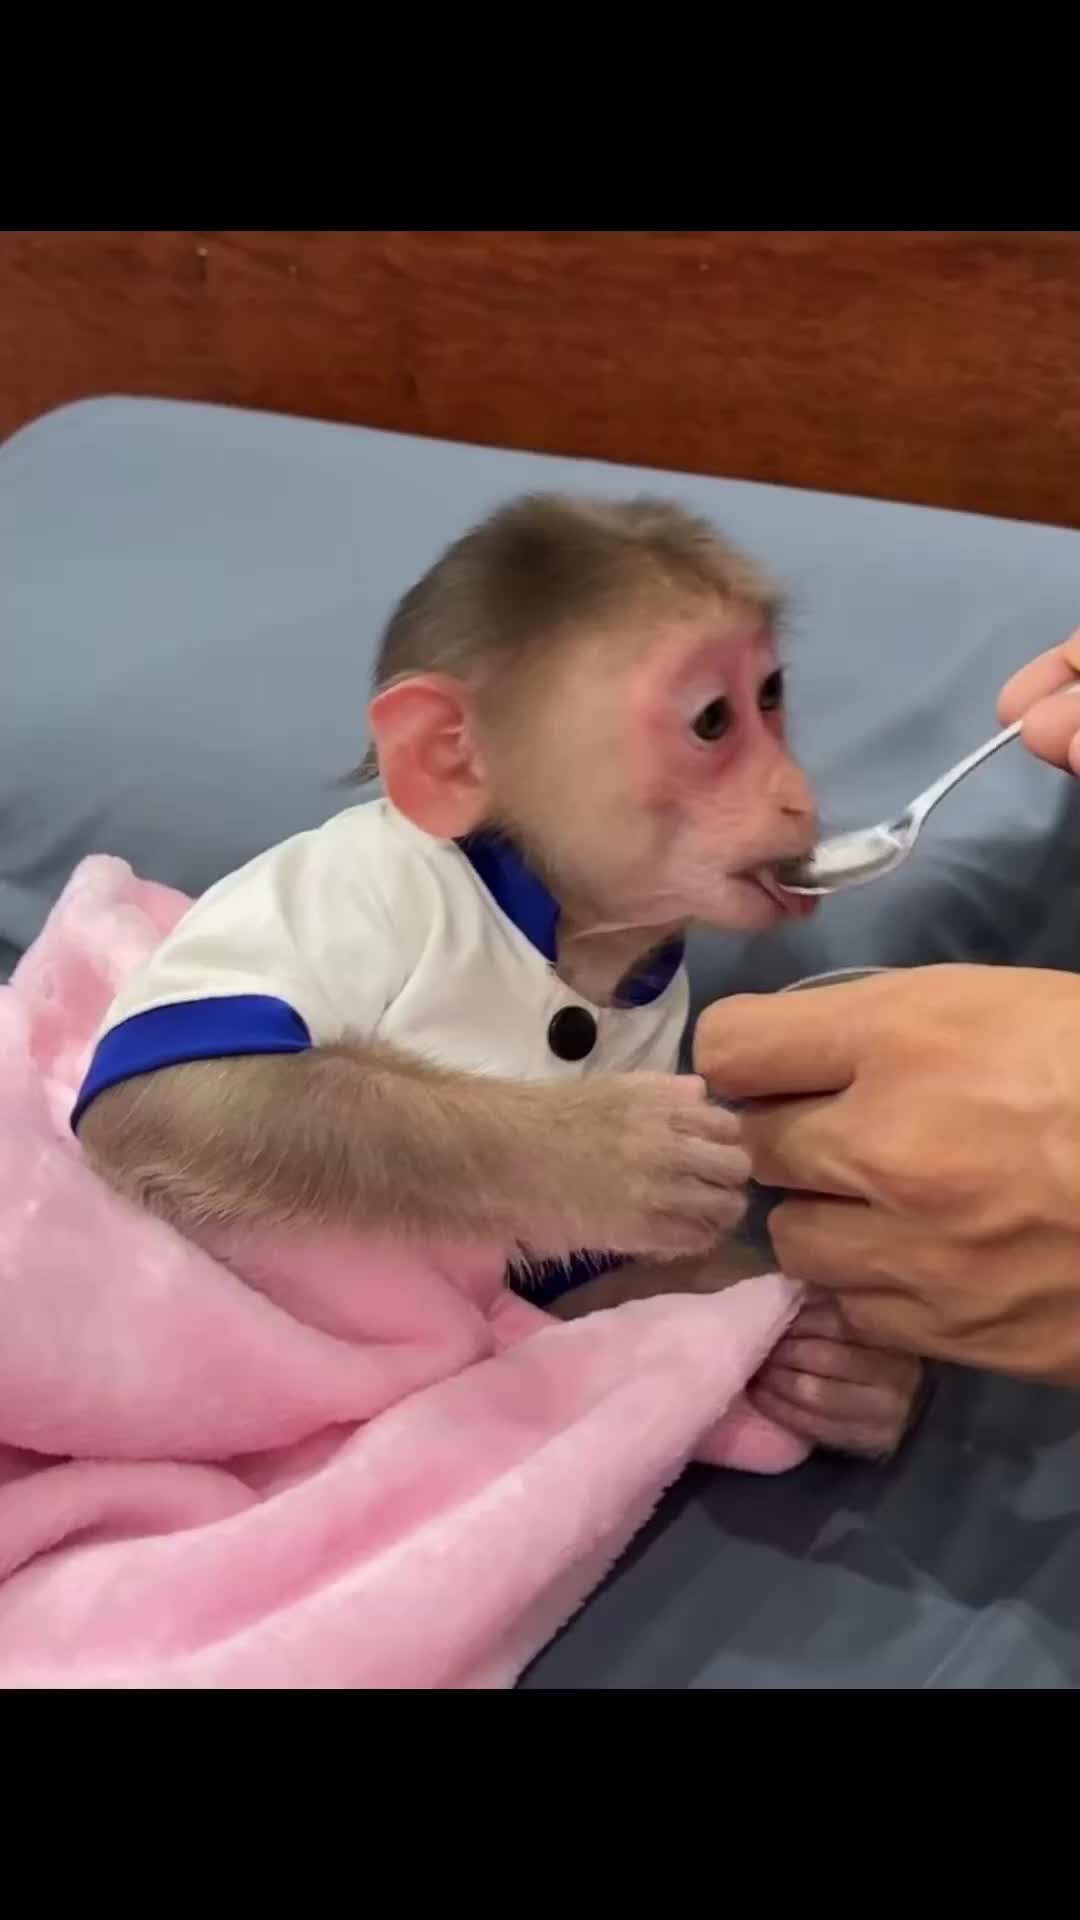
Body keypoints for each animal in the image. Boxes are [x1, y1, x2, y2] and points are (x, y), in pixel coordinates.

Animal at [73, 493, 924, 1456]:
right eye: (713, 720)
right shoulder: (372, 888)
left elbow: (577, 1273)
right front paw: (598, 1153)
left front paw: (848, 1370)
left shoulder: (654, 1002)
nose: (794, 792)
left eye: (769, 697)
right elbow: (174, 1097)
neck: (552, 923)